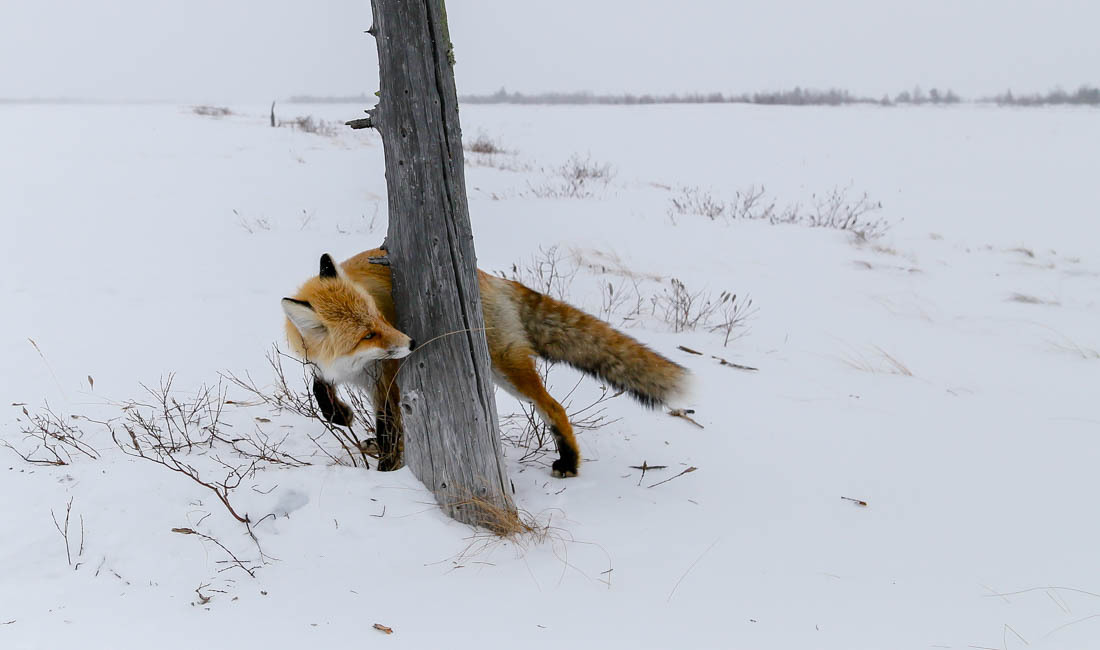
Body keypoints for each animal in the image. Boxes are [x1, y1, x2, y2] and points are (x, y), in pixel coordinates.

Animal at [283, 249, 686, 477]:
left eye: (380, 319)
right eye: (367, 334)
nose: (412, 343)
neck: (347, 365)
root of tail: (487, 277)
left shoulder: (388, 381)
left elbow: (389, 430)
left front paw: (386, 471)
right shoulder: (331, 368)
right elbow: (319, 387)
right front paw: (340, 414)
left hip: (505, 369)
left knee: (554, 407)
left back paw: (570, 462)